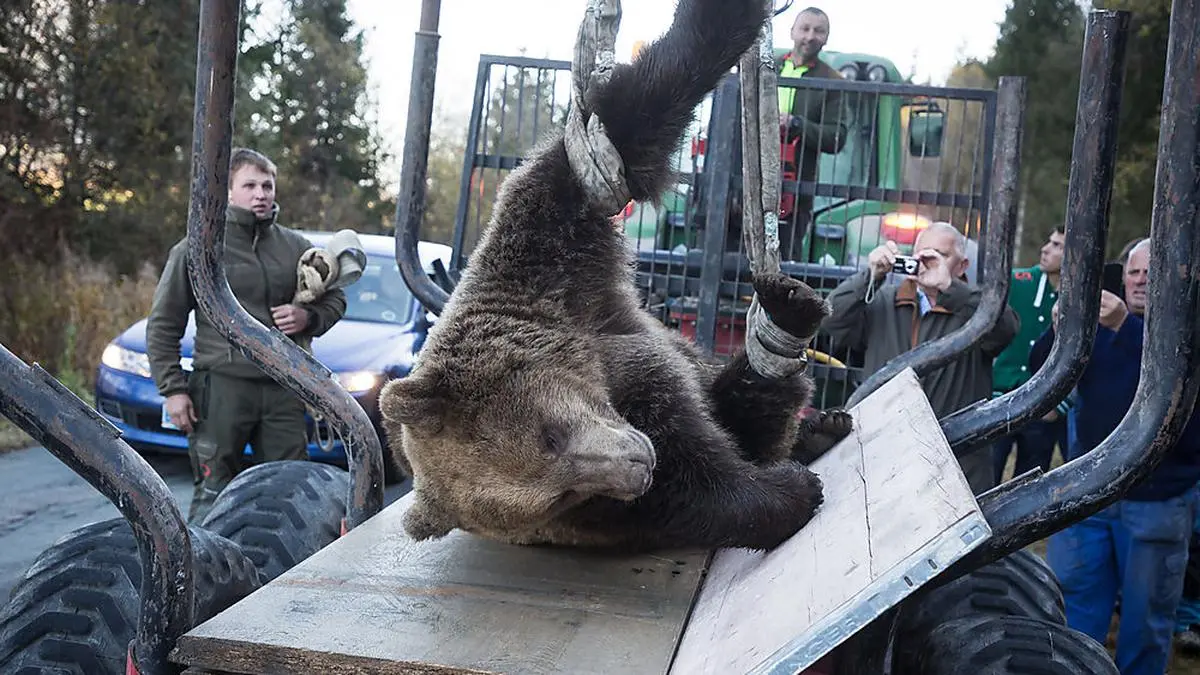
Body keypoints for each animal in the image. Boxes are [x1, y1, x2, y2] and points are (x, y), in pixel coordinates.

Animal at [378, 0, 854, 553]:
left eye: (551, 435)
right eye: (559, 496)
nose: (638, 462)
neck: (588, 356)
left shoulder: (552, 247)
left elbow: (634, 120)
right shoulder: (612, 508)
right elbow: (699, 485)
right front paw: (790, 489)